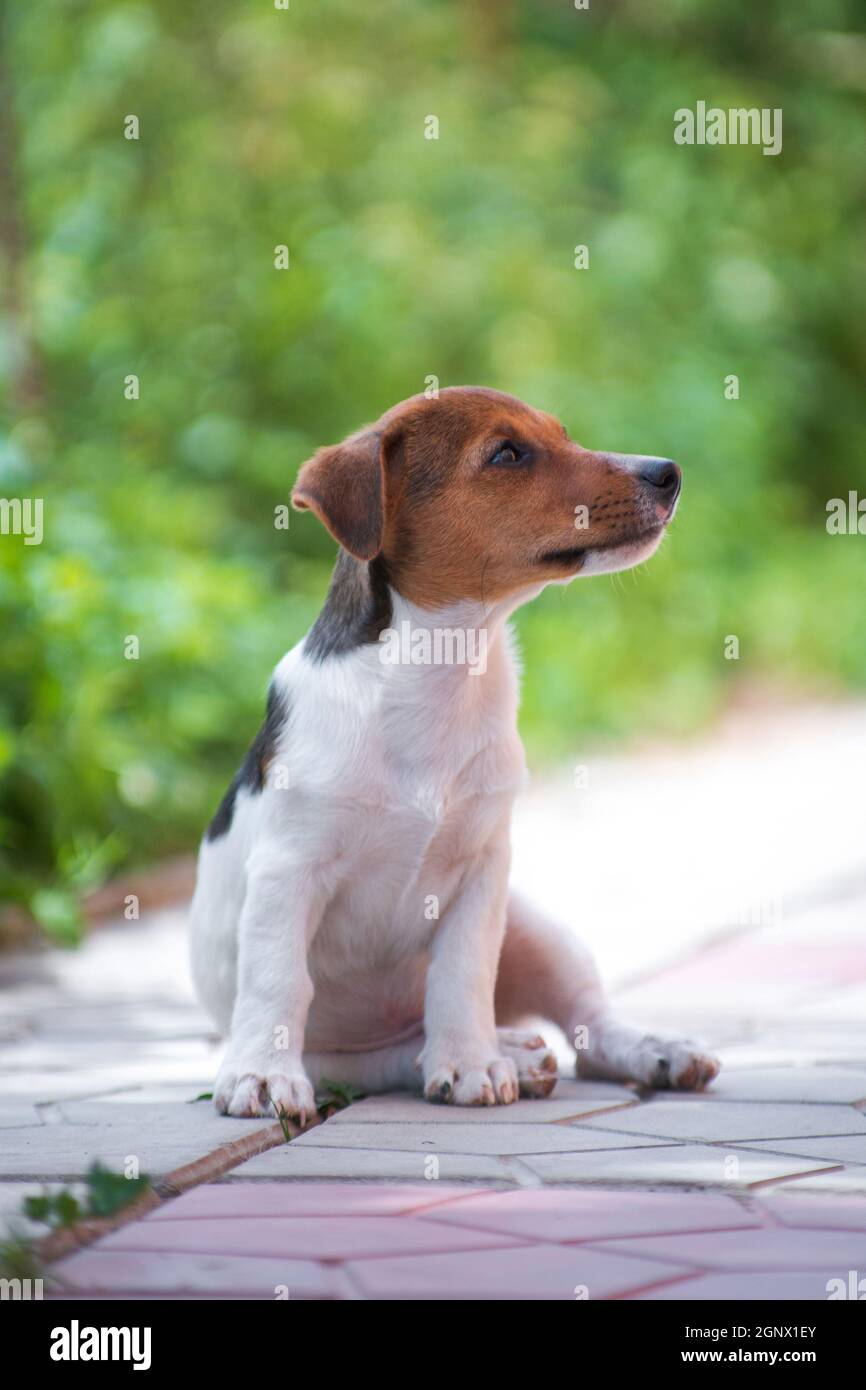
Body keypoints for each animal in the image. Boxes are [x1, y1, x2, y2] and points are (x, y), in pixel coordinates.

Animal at [191, 383, 722, 1117]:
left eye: (563, 434)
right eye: (508, 454)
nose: (667, 472)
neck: (442, 669)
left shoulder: (483, 871)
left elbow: (462, 973)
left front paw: (470, 1061)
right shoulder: (287, 870)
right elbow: (278, 980)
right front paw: (263, 1076)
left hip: (535, 928)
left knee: (587, 1026)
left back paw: (631, 1050)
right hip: (340, 1056)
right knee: (383, 1060)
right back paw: (508, 1053)